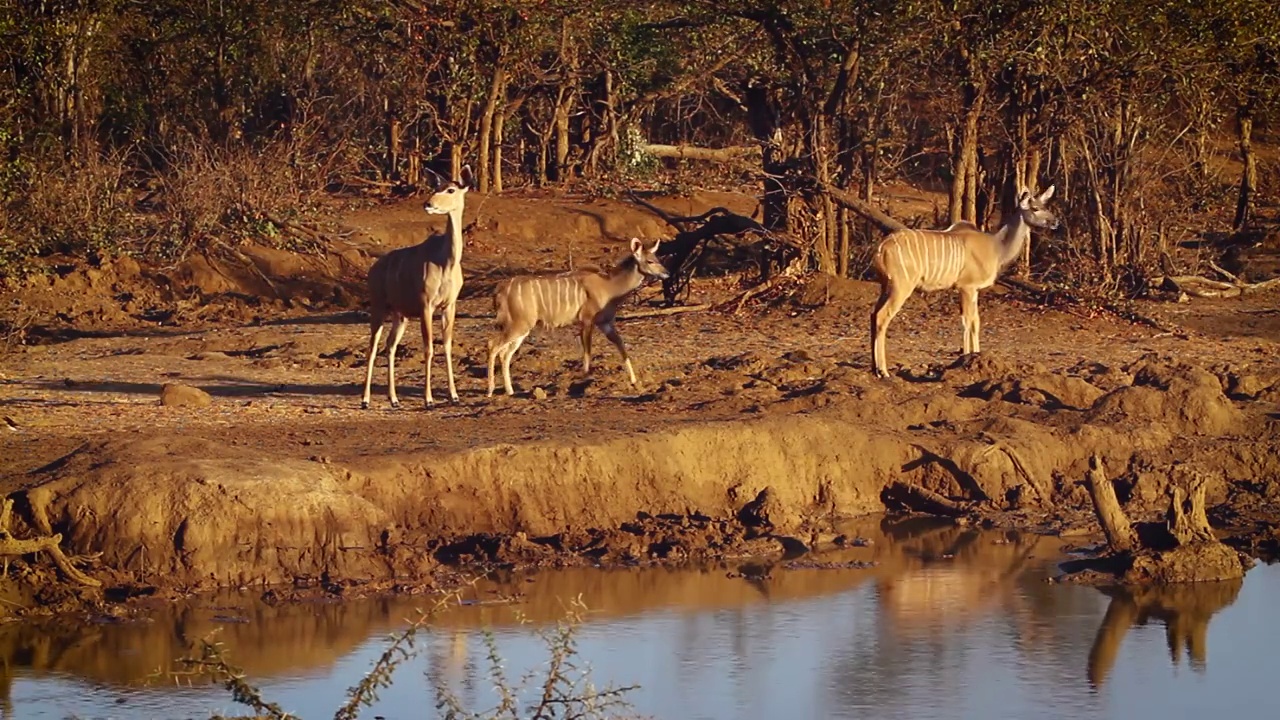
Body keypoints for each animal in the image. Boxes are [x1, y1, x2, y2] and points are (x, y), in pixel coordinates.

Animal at [360, 165, 476, 407]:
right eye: (436, 187)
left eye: (451, 189)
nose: (428, 204)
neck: (446, 263)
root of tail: (372, 270)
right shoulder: (426, 304)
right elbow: (429, 348)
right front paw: (428, 399)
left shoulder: (449, 305)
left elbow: (447, 345)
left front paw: (454, 396)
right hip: (378, 305)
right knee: (372, 347)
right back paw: (365, 400)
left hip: (400, 314)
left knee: (390, 346)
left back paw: (394, 399)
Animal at [486, 235, 675, 394]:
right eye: (650, 261)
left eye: (658, 259)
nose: (667, 273)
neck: (610, 286)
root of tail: (499, 291)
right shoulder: (587, 320)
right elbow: (587, 352)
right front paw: (584, 380)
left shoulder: (605, 323)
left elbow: (621, 345)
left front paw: (634, 381)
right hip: (519, 324)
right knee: (492, 344)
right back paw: (490, 390)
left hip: (522, 327)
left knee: (505, 353)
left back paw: (510, 391)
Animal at [870, 183, 1059, 376]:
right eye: (1035, 208)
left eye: (1045, 205)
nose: (1055, 221)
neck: (996, 247)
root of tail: (880, 249)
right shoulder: (966, 286)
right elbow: (967, 321)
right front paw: (966, 358)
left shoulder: (974, 290)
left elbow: (976, 321)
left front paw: (976, 356)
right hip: (901, 286)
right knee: (882, 316)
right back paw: (883, 371)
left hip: (886, 285)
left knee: (873, 314)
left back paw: (874, 367)